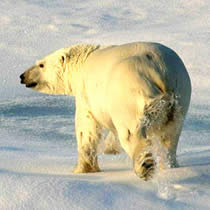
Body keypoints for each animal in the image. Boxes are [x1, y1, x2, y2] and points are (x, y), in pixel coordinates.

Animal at [20, 42, 192, 180]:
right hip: (180, 97)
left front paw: (81, 169)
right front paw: (110, 148)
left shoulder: (86, 94)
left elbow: (86, 129)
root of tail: (160, 71)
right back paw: (169, 164)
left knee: (130, 132)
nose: (22, 76)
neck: (84, 60)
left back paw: (144, 166)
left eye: (41, 64)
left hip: (128, 93)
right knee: (170, 135)